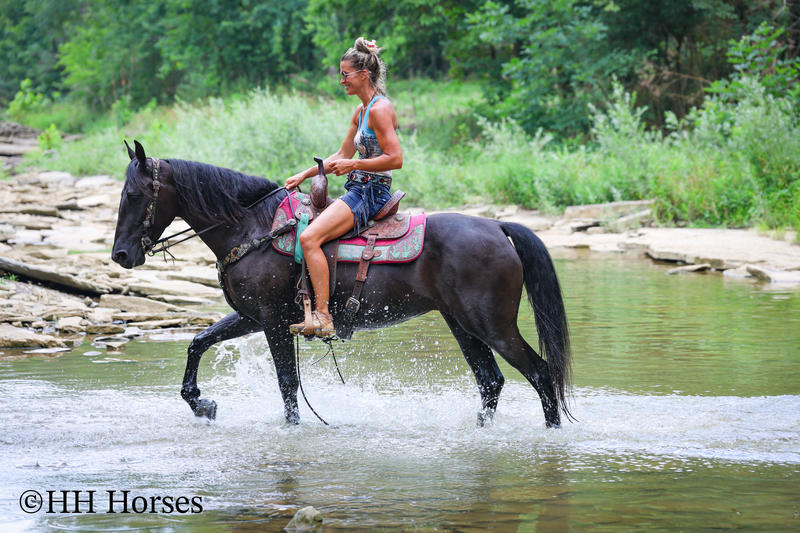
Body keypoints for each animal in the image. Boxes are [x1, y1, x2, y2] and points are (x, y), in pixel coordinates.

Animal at [112, 141, 573, 428]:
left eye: (134, 195)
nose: (121, 255)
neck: (253, 227)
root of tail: (497, 226)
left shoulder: (273, 322)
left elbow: (287, 384)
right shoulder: (252, 317)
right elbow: (198, 342)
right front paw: (202, 404)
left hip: (493, 325)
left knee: (540, 373)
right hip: (463, 325)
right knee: (491, 382)